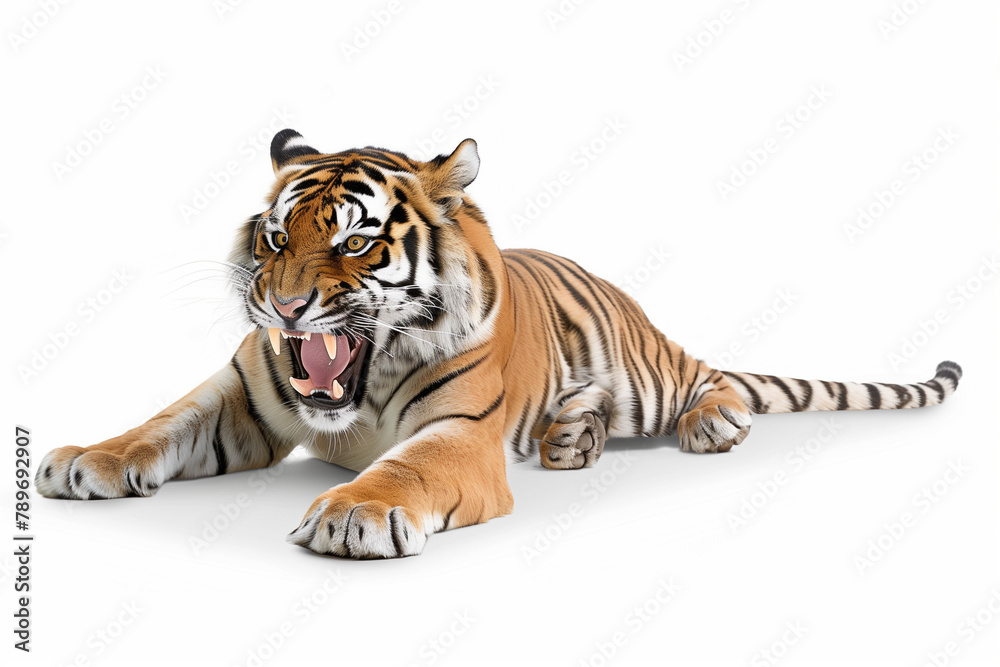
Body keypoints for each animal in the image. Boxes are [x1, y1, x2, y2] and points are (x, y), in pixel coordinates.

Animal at [35, 129, 963, 559]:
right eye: (273, 239)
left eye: (355, 242)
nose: (288, 306)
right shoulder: (241, 396)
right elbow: (158, 423)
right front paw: (85, 459)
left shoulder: (462, 432)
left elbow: (403, 468)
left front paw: (352, 512)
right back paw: (572, 437)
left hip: (653, 372)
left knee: (711, 376)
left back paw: (709, 423)